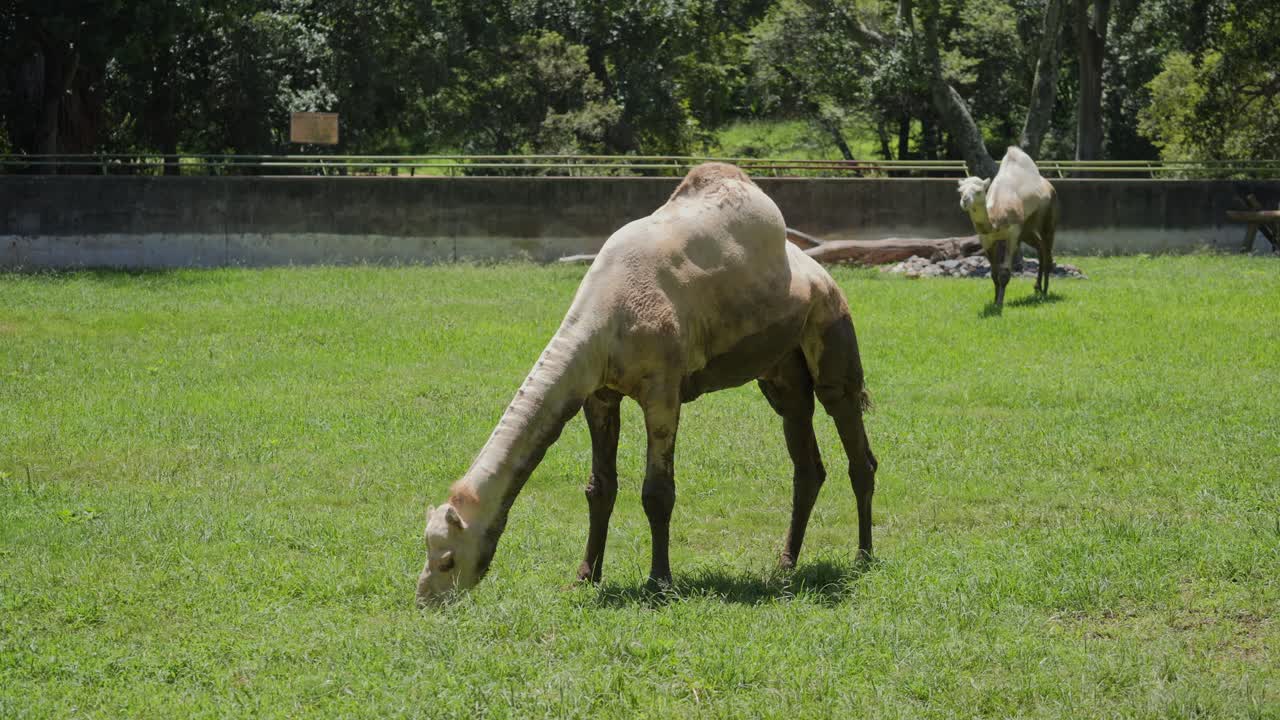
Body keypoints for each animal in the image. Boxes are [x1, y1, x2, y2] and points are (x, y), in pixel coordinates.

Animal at [416, 163, 878, 606]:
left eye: (447, 559)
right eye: (426, 549)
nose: (425, 600)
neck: (605, 320)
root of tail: (818, 272)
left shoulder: (662, 393)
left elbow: (657, 493)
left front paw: (659, 582)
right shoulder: (599, 394)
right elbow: (599, 487)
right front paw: (584, 577)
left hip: (833, 328)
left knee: (853, 436)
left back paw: (863, 557)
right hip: (780, 369)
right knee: (805, 455)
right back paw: (785, 564)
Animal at [957, 146, 1059, 307]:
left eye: (979, 191)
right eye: (960, 191)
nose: (965, 200)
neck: (995, 219)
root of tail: (1048, 185)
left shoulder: (1013, 234)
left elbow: (1004, 272)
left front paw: (999, 303)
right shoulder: (986, 238)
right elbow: (994, 273)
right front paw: (994, 301)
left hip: (1048, 217)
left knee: (1048, 251)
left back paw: (1045, 292)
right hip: (1027, 230)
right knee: (1040, 248)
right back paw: (1037, 288)